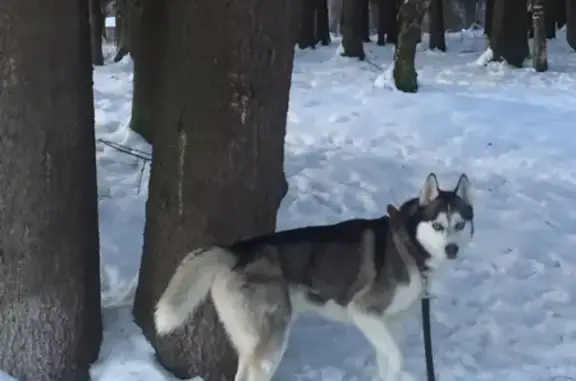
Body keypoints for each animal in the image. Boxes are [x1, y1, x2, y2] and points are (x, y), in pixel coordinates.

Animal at [153, 171, 472, 380]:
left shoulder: (388, 325)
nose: (452, 249)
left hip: (250, 338)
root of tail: (238, 250)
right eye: (438, 226)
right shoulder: (363, 311)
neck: (409, 244)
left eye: (459, 224)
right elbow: (396, 358)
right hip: (272, 340)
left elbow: (387, 363)